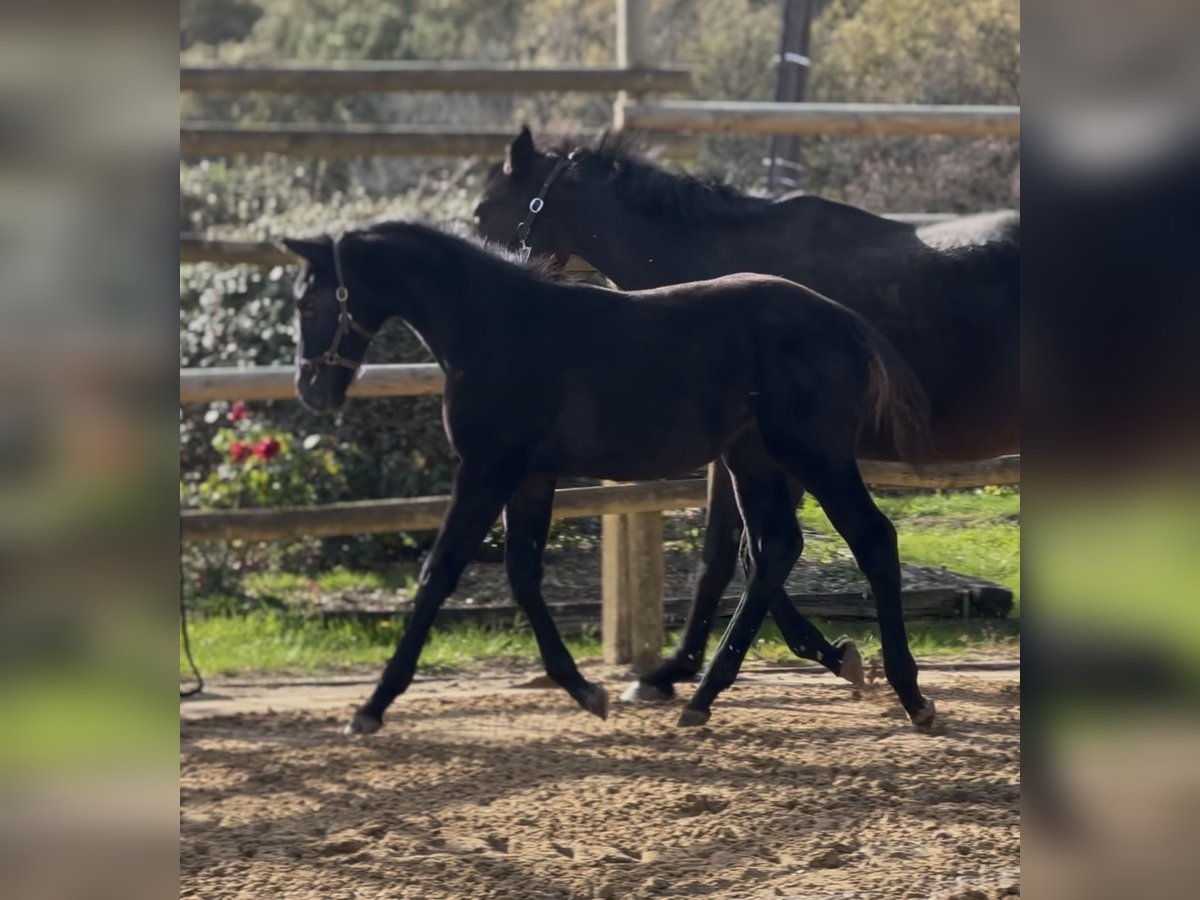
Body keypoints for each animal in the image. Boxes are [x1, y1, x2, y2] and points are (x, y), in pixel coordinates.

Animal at [280, 221, 937, 736]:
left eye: (308, 304)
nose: (311, 390)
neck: (498, 327)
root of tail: (843, 320)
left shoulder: (488, 469)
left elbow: (439, 573)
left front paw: (371, 706)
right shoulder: (529, 477)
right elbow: (523, 575)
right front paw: (584, 689)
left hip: (814, 457)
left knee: (870, 539)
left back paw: (911, 695)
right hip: (754, 460)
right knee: (774, 548)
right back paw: (708, 694)